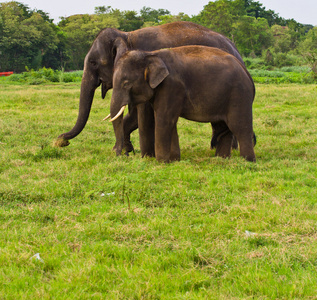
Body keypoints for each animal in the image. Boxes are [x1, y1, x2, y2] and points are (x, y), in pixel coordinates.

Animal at [55, 20, 242, 155]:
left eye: (94, 63)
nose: (60, 141)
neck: (125, 36)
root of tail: (235, 48)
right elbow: (132, 115)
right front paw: (126, 151)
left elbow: (142, 112)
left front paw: (144, 155)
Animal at [109, 46, 256, 164]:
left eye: (126, 83)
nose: (124, 155)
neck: (151, 54)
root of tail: (247, 73)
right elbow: (171, 122)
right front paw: (174, 160)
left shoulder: (171, 86)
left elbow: (164, 119)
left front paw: (161, 162)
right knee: (222, 128)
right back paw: (222, 160)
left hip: (239, 96)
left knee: (240, 127)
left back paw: (247, 161)